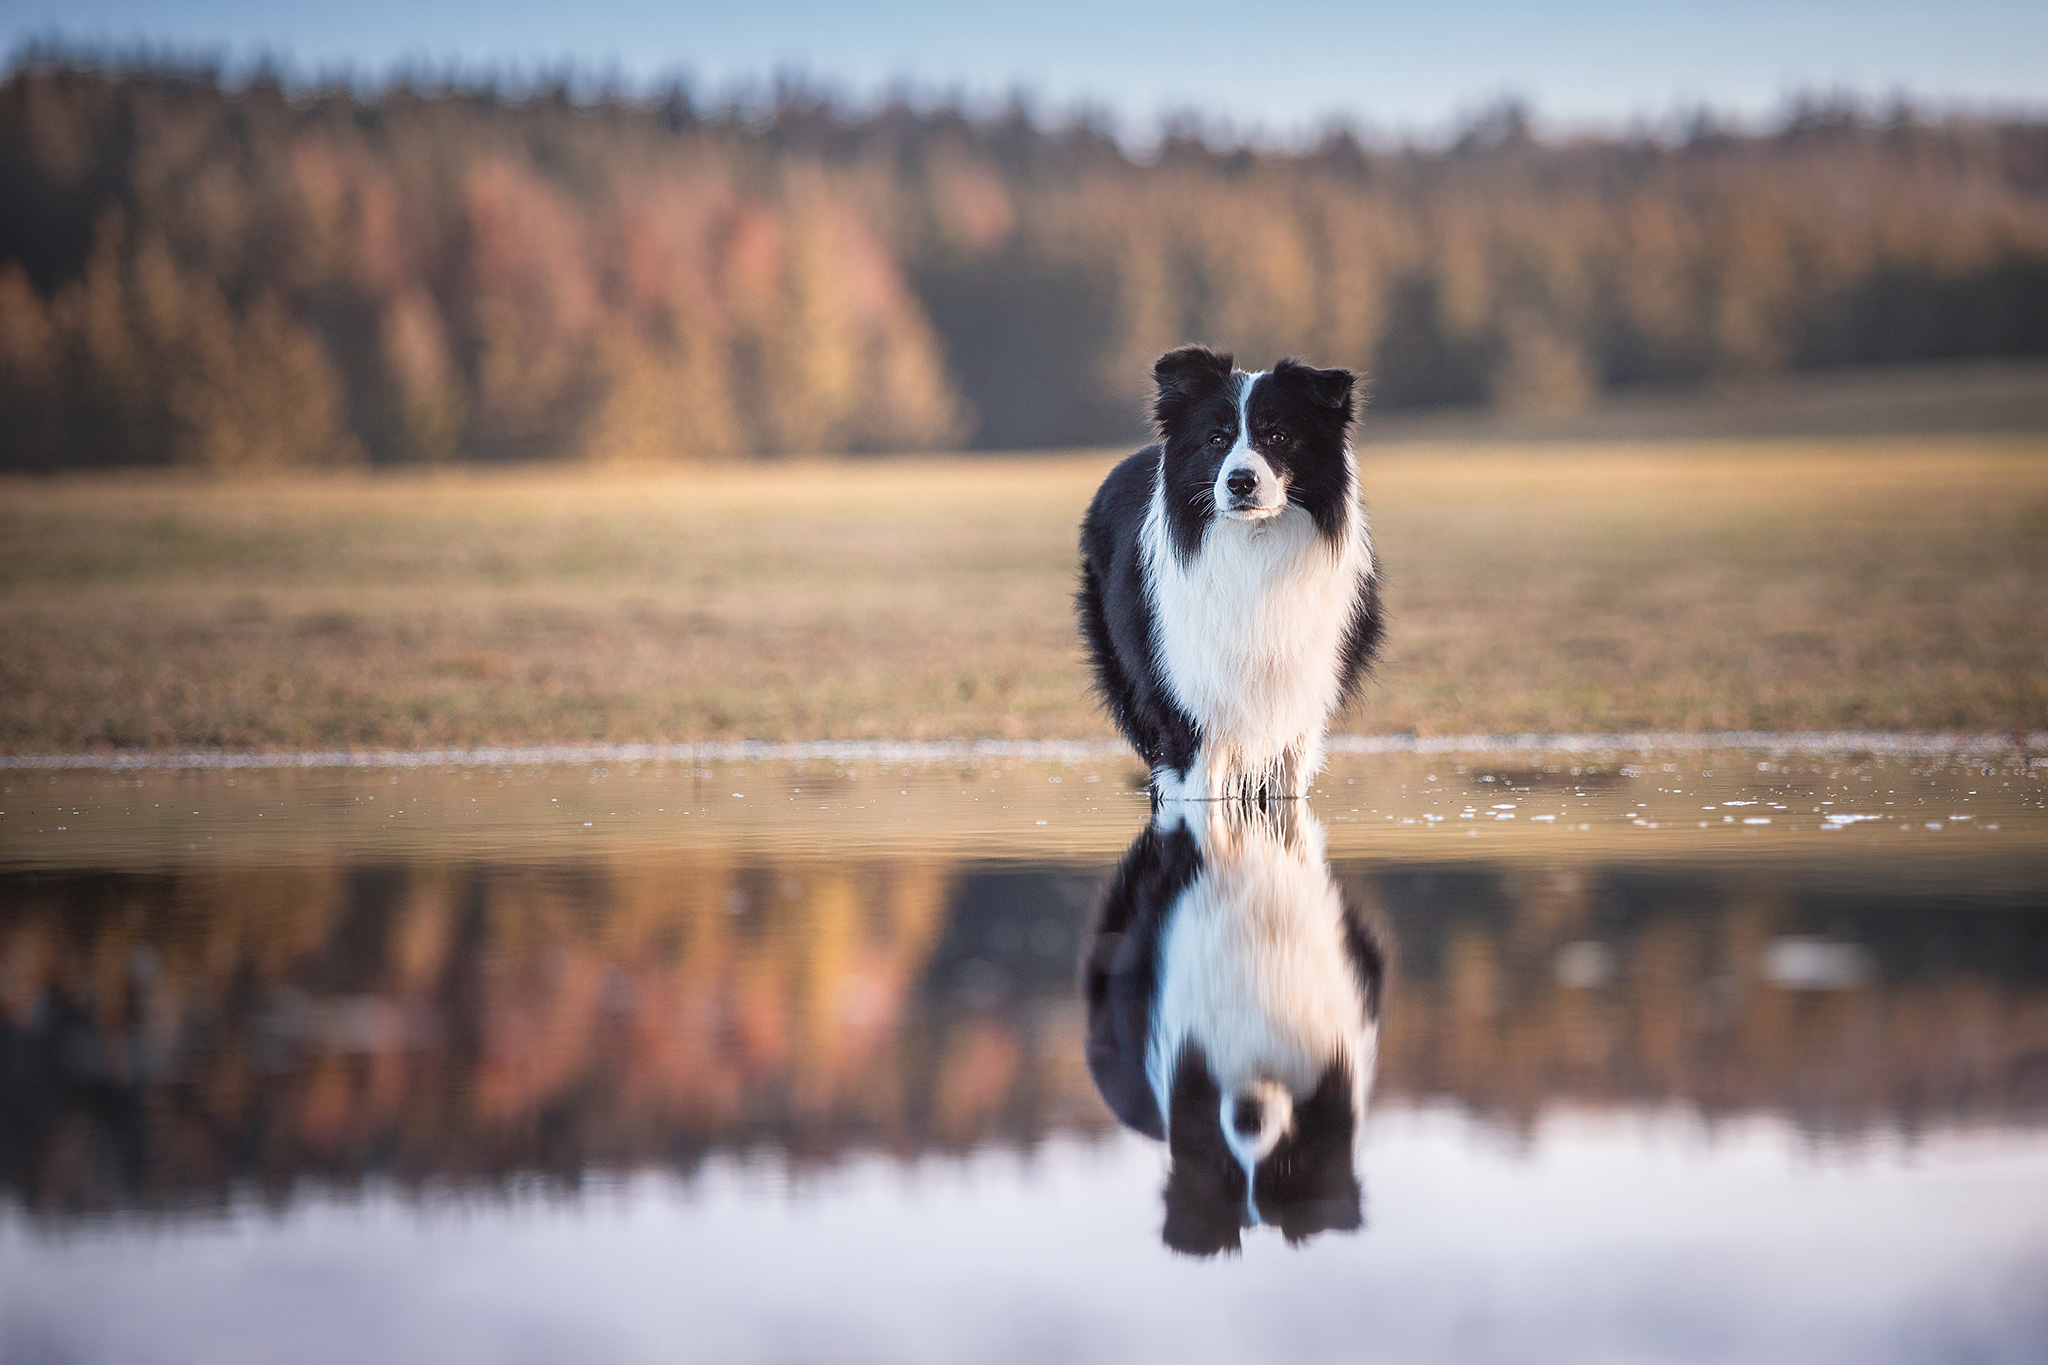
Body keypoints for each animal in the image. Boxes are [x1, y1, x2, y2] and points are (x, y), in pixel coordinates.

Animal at [1081, 347, 1384, 806]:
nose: (1241, 481)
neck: (1253, 543)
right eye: (1216, 440)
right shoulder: (1189, 697)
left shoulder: (1301, 694)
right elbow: (1199, 792)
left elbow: (1288, 791)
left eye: (1277, 436)